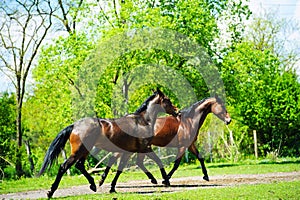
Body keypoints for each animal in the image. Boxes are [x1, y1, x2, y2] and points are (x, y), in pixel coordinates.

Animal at [38, 88, 177, 197]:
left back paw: (93, 185)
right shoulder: (145, 148)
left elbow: (120, 169)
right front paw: (165, 181)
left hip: (85, 151)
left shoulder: (128, 152)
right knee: (64, 166)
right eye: (167, 100)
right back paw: (51, 192)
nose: (176, 110)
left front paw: (112, 188)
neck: (142, 121)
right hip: (79, 151)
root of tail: (74, 126)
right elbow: (158, 161)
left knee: (80, 165)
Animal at [99, 96, 231, 185]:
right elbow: (176, 164)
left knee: (134, 162)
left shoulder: (190, 145)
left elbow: (200, 158)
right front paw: (165, 179)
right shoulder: (182, 146)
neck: (188, 121)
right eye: (222, 106)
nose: (229, 120)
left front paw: (206, 176)